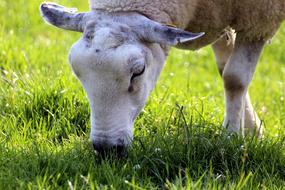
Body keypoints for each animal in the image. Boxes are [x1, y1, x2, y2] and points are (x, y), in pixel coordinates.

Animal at [40, 0, 284, 155]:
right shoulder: (222, 16)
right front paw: (252, 132)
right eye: (77, 71)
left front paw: (231, 138)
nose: (107, 150)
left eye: (138, 71)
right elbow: (224, 68)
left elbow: (234, 78)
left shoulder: (259, 20)